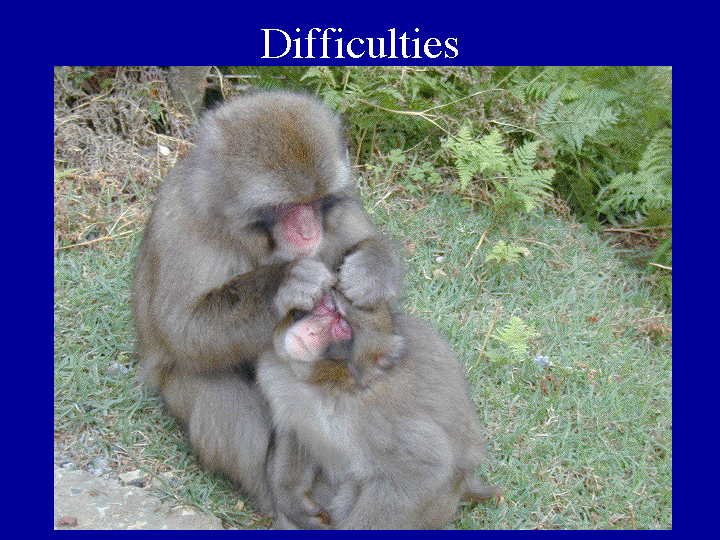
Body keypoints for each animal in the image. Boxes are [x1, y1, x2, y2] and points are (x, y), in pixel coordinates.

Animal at [132, 90, 404, 514]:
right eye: (285, 206)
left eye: (315, 200)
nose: (308, 230)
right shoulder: (185, 224)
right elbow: (183, 331)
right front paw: (285, 283)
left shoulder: (338, 211)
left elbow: (365, 249)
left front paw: (371, 269)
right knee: (212, 384)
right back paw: (276, 495)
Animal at [257, 291, 499, 529]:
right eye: (325, 306)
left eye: (343, 326)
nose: (312, 329)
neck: (330, 384)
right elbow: (295, 435)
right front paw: (292, 500)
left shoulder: (377, 416)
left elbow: (421, 471)